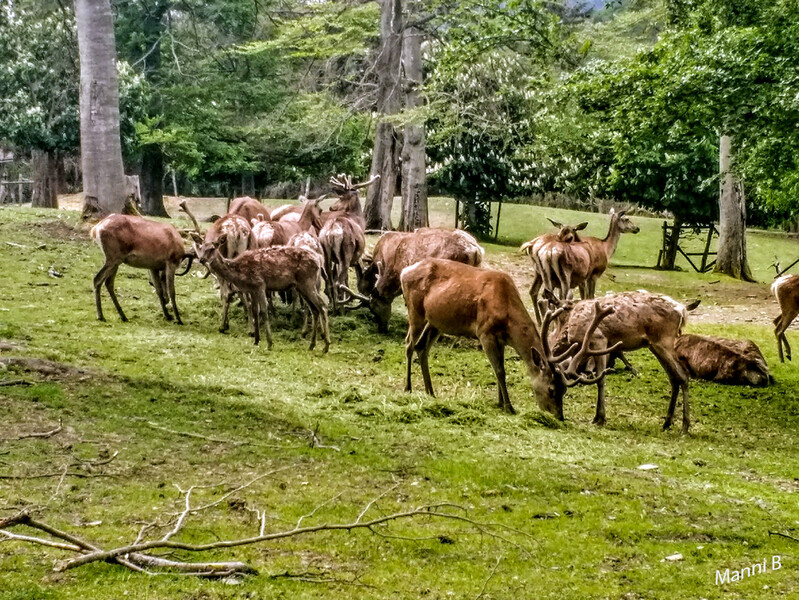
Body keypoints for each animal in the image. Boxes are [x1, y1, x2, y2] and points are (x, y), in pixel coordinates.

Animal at [195, 240, 330, 352]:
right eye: (201, 247)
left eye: (212, 248)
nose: (201, 259)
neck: (239, 272)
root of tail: (319, 260)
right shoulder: (252, 289)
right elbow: (255, 312)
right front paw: (256, 340)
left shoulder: (260, 284)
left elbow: (264, 312)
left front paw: (269, 343)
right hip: (301, 287)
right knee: (315, 309)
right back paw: (312, 345)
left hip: (308, 282)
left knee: (322, 306)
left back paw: (326, 346)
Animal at [400, 258, 620, 418]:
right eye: (551, 389)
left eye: (564, 391)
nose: (559, 417)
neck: (506, 312)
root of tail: (405, 271)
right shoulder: (485, 332)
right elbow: (500, 370)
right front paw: (508, 406)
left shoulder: (502, 339)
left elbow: (500, 368)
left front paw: (500, 402)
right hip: (415, 310)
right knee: (409, 344)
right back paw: (407, 387)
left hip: (436, 322)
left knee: (421, 347)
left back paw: (430, 391)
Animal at [548, 290, 696, 432]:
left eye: (557, 390)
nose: (558, 415)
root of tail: (682, 311)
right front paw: (598, 417)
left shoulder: (599, 340)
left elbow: (600, 379)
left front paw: (600, 418)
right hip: (654, 345)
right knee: (673, 378)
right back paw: (667, 423)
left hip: (664, 340)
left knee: (683, 375)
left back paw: (685, 426)